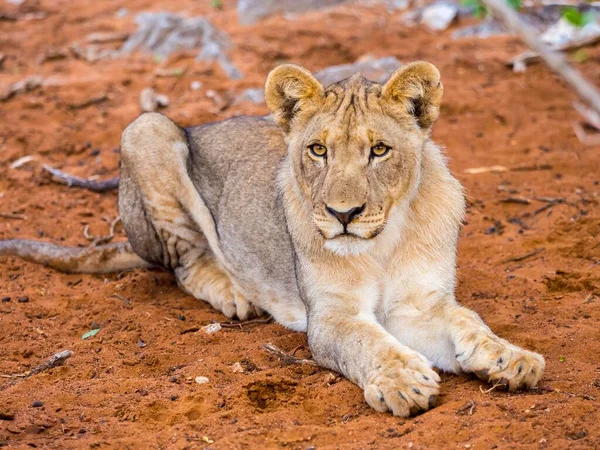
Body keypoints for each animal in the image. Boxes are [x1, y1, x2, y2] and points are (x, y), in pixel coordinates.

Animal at [0, 61, 544, 416]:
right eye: (318, 150)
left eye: (380, 150)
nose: (343, 214)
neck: (382, 242)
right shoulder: (329, 318)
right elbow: (368, 342)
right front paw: (404, 381)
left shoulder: (420, 305)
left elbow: (469, 321)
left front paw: (511, 358)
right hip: (147, 129)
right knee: (183, 262)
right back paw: (234, 292)